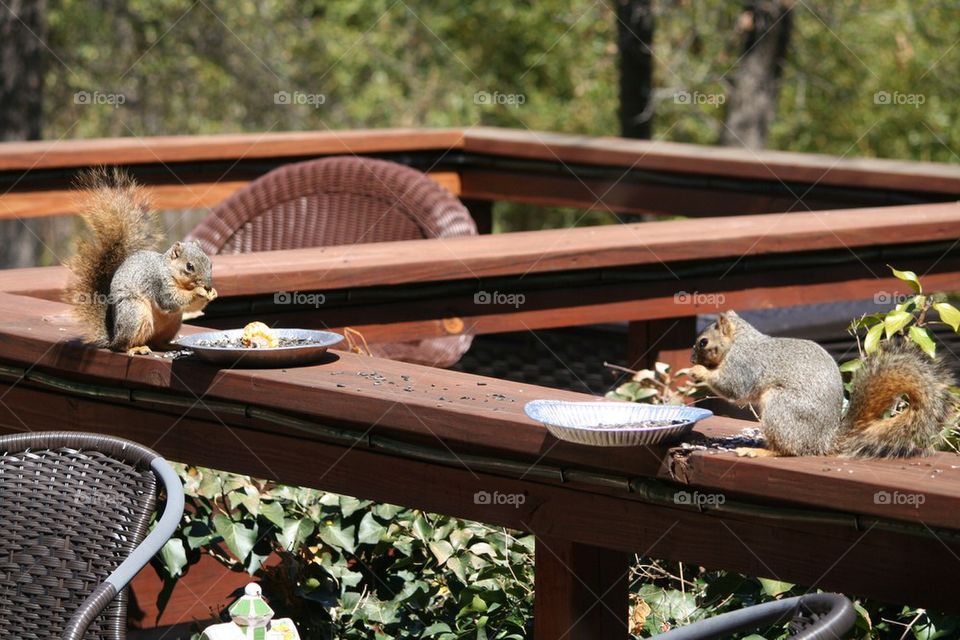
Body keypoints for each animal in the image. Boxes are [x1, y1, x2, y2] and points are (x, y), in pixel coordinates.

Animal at [64, 169, 218, 355]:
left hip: (173, 322)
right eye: (189, 266)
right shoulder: (158, 283)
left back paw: (170, 345)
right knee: (123, 346)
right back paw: (136, 348)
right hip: (135, 314)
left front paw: (213, 293)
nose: (208, 286)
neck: (169, 269)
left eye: (210, 263)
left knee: (157, 341)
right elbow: (170, 300)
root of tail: (113, 337)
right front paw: (198, 291)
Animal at [688, 310, 956, 458]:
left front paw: (699, 372)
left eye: (703, 342)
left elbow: (734, 387)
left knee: (789, 450)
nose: (691, 359)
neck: (739, 342)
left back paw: (761, 450)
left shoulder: (743, 363)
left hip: (781, 408)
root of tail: (824, 440)